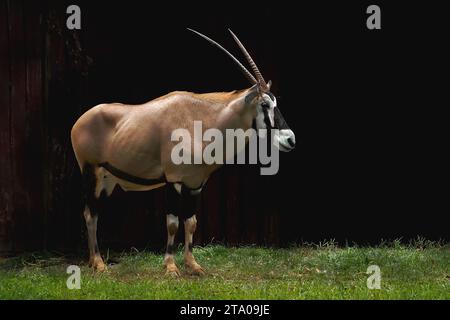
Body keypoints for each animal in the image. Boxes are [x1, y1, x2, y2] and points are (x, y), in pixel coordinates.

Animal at [70, 28, 296, 276]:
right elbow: (172, 223)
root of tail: (79, 121)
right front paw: (170, 267)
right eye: (265, 104)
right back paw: (99, 263)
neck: (201, 120)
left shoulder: (195, 184)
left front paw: (193, 265)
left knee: (94, 212)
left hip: (106, 181)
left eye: (275, 102)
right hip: (91, 173)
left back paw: (92, 261)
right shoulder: (174, 181)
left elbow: (191, 222)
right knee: (90, 214)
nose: (290, 139)